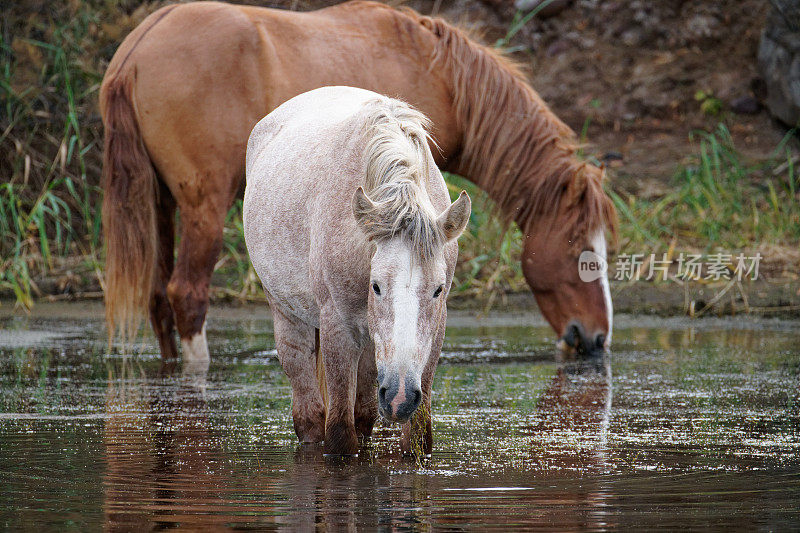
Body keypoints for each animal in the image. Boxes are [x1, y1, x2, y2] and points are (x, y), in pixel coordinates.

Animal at [101, 0, 620, 362]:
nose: (597, 338)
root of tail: (136, 50)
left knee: (157, 299)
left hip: (160, 204)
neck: (440, 73)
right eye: (581, 252)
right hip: (202, 208)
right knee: (185, 296)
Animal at [241, 86, 472, 454]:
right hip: (287, 313)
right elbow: (338, 437)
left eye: (438, 289)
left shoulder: (435, 331)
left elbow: (416, 439)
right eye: (375, 286)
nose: (400, 398)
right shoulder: (337, 326)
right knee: (310, 416)